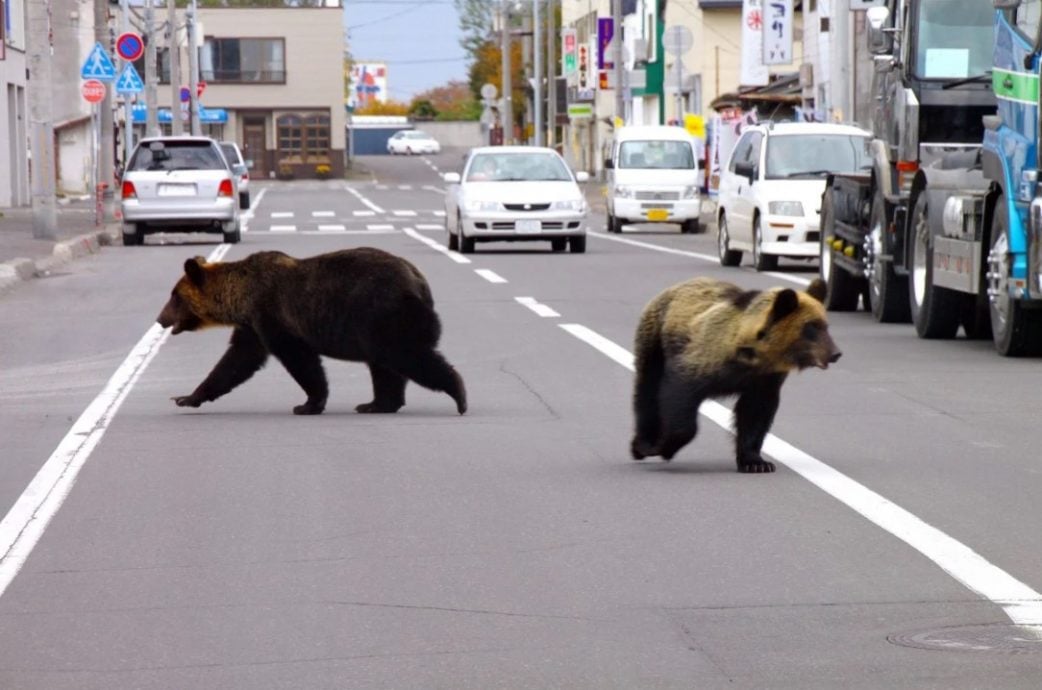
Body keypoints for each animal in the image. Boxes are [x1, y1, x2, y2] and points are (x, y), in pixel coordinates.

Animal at [156, 248, 467, 416]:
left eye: (174, 297)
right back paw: (376, 403)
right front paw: (187, 397)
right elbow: (236, 362)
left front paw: (308, 403)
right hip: (378, 326)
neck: (240, 298)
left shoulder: (272, 315)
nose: (160, 319)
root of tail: (419, 281)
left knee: (407, 356)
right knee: (384, 366)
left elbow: (300, 359)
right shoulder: (252, 326)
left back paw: (459, 395)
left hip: (384, 314)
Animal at [629, 277, 840, 473]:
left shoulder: (764, 380)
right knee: (647, 387)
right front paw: (663, 447)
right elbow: (679, 396)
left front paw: (756, 462)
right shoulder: (702, 359)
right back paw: (641, 444)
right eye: (811, 326)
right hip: (655, 338)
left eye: (826, 325)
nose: (835, 353)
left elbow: (755, 414)